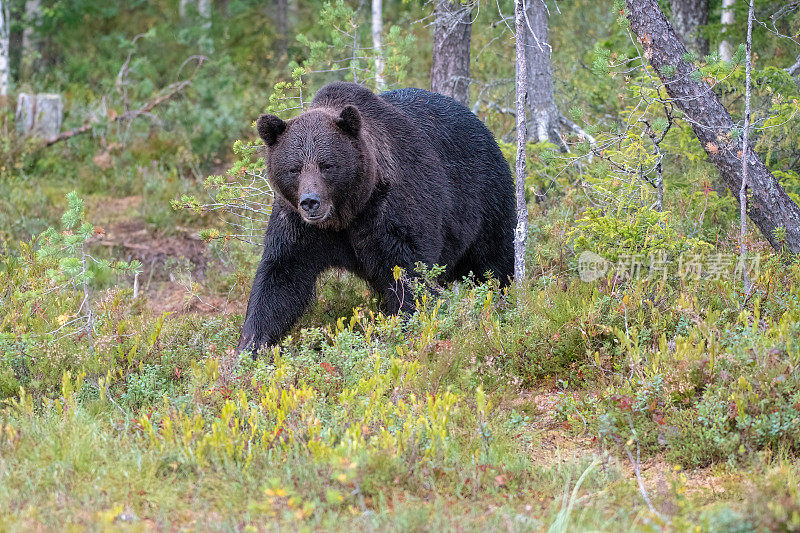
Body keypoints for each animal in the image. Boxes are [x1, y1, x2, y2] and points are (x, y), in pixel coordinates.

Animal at [236, 81, 512, 354]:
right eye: (294, 169)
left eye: (327, 165)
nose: (310, 201)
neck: (346, 214)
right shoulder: (298, 226)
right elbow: (280, 279)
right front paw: (250, 345)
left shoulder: (392, 212)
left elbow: (408, 272)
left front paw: (407, 327)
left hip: (485, 197)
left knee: (495, 257)